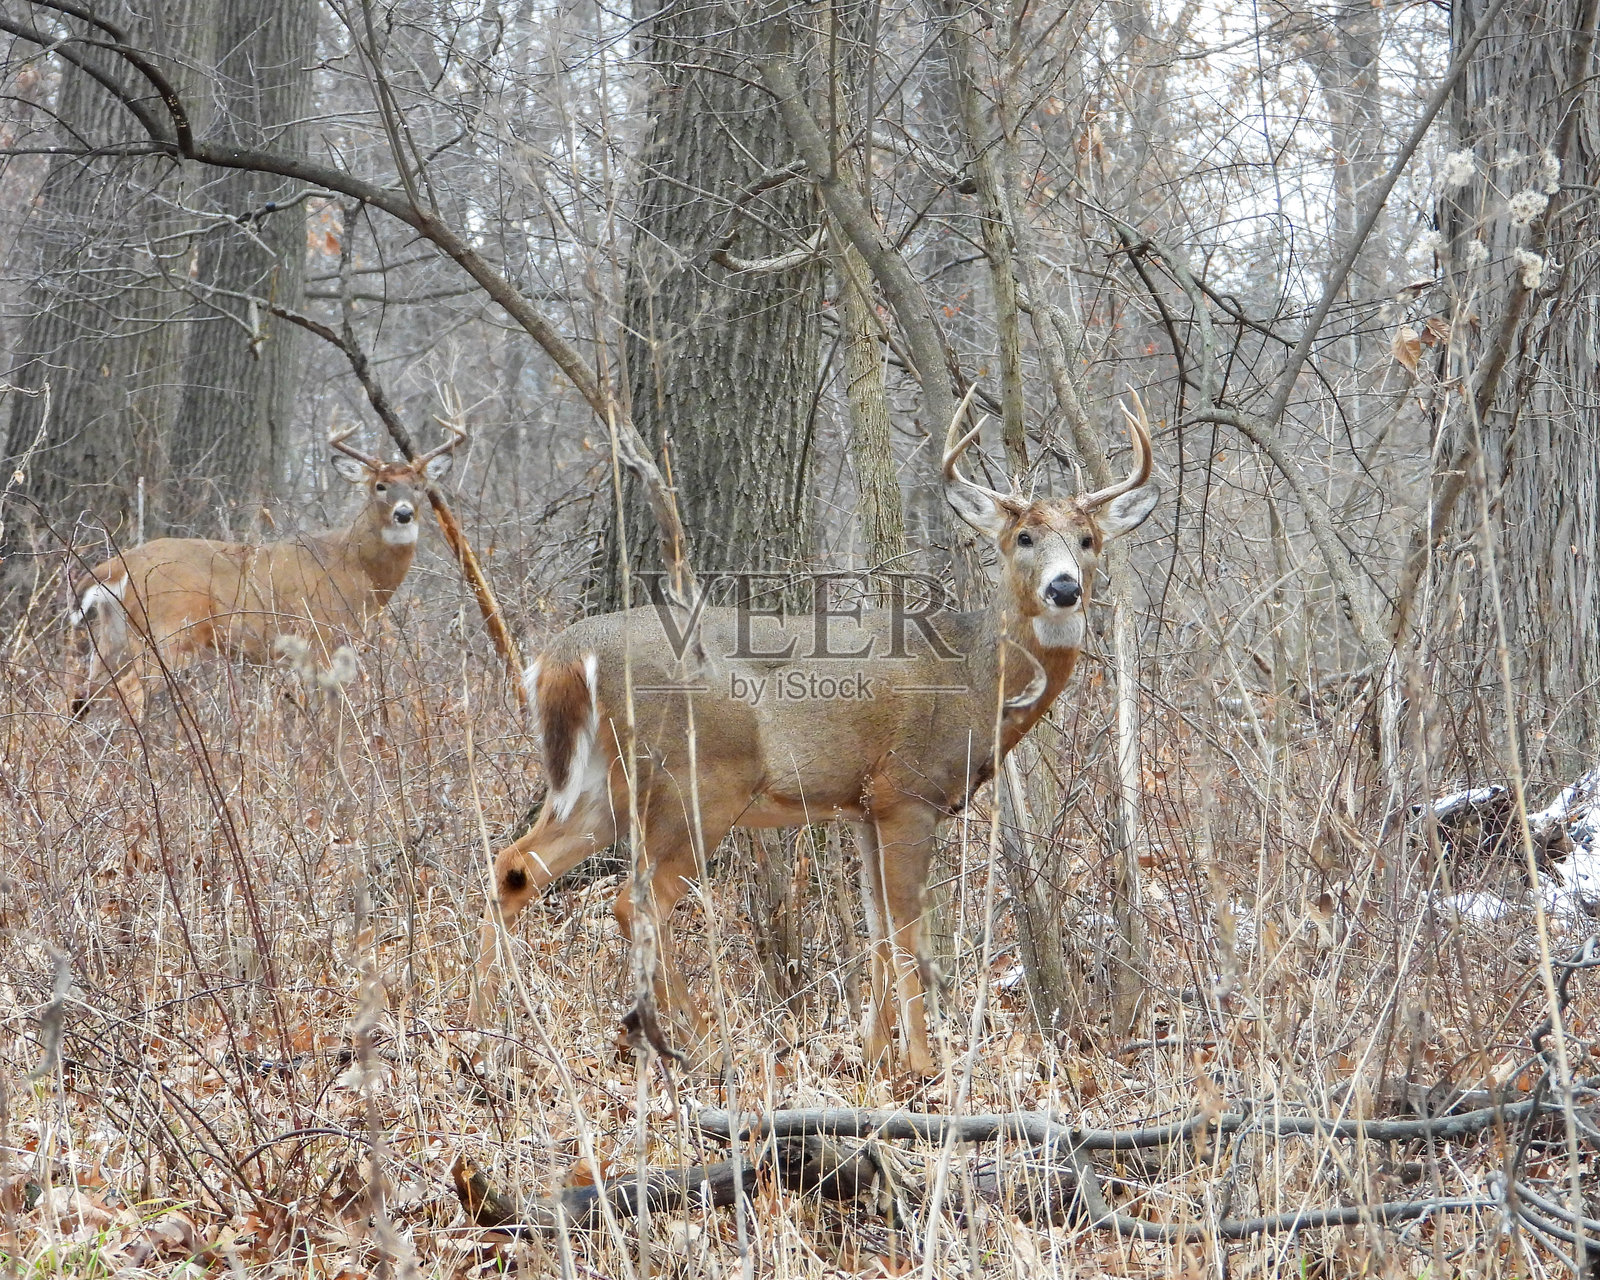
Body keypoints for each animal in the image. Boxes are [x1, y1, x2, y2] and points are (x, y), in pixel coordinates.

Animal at [69, 425, 464, 721]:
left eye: (419, 487)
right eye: (380, 486)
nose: (403, 513)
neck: (356, 568)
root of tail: (115, 566)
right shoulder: (323, 634)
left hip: (114, 637)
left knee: (82, 694)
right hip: (168, 632)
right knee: (129, 691)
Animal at [472, 396, 1159, 1077]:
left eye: (1089, 539)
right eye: (1023, 537)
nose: (1064, 587)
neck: (974, 678)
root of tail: (566, 654)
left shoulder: (863, 806)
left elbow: (877, 929)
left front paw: (875, 1054)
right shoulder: (907, 794)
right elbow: (909, 928)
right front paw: (921, 1065)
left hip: (600, 785)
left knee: (517, 866)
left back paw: (482, 1035)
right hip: (694, 783)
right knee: (635, 902)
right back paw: (707, 1046)